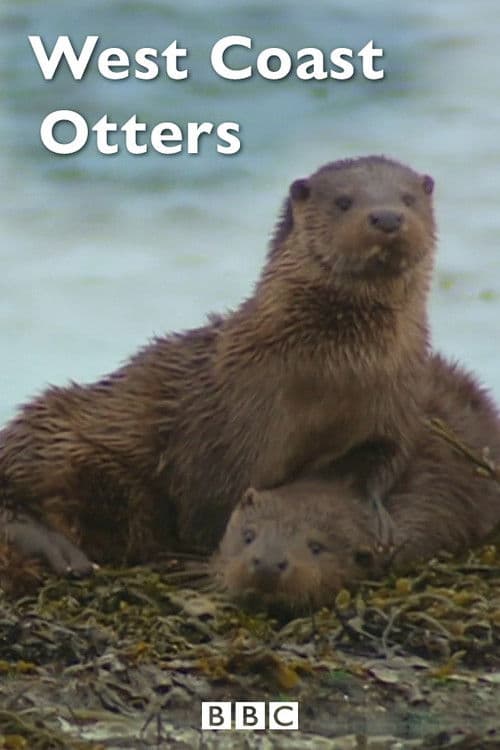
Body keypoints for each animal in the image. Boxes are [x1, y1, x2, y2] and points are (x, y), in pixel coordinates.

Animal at [0, 156, 435, 566]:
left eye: (407, 199)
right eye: (344, 202)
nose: (387, 217)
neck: (336, 374)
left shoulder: (400, 403)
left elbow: (384, 462)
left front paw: (378, 520)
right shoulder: (233, 422)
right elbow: (211, 504)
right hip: (55, 436)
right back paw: (60, 551)